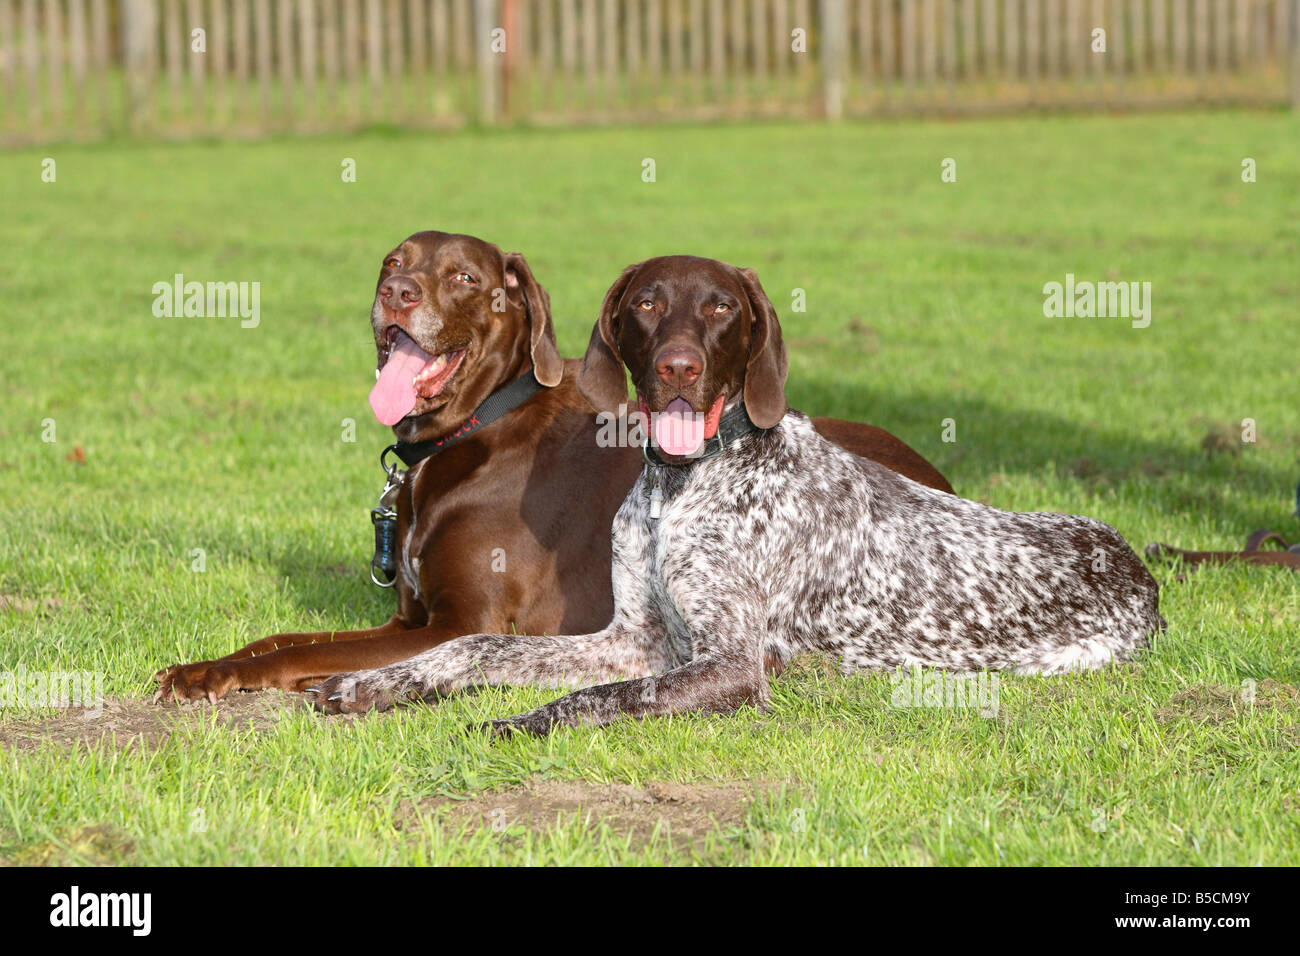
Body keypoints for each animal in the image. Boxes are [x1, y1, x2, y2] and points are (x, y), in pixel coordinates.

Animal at [154, 232, 956, 702]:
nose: (396, 296)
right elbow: (284, 639)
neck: (474, 429)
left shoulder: (458, 622)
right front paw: (206, 663)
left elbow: (301, 652)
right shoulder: (409, 613)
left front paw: (223, 675)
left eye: (464, 277)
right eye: (392, 264)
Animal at [309, 254, 1164, 733]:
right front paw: (371, 682)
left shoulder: (723, 666)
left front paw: (515, 722)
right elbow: (473, 647)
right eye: (648, 302)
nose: (680, 367)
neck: (676, 485)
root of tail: (1137, 565)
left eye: (722, 306)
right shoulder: (633, 638)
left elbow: (597, 699)